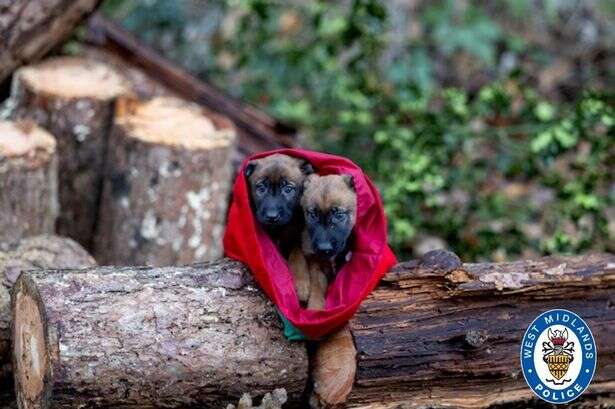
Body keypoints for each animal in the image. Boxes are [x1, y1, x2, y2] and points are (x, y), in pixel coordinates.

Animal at [244, 153, 312, 300]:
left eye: (288, 189)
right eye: (261, 188)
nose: (272, 217)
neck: (279, 229)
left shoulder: (297, 239)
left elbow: (298, 257)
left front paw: (302, 285)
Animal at [298, 172, 356, 310]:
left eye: (338, 215)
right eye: (313, 215)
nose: (324, 249)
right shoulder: (315, 263)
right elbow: (316, 290)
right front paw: (315, 309)